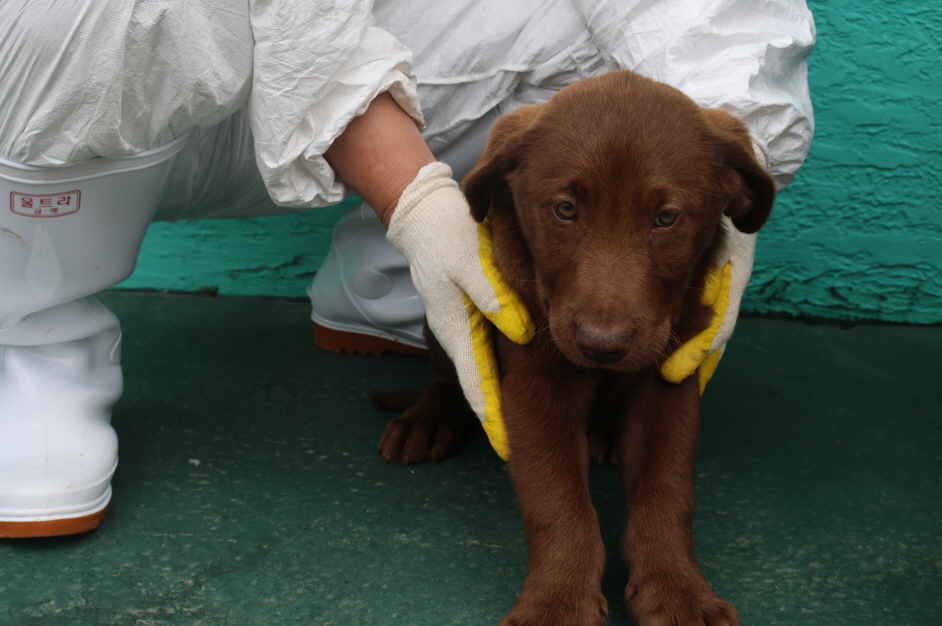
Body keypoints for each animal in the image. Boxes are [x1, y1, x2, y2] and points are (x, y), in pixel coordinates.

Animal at [380, 70, 780, 620]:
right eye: (565, 209)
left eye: (667, 218)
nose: (602, 345)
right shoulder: (533, 381)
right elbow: (558, 501)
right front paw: (558, 603)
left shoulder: (672, 374)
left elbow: (667, 493)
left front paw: (678, 591)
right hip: (448, 315)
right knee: (448, 370)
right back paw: (427, 418)